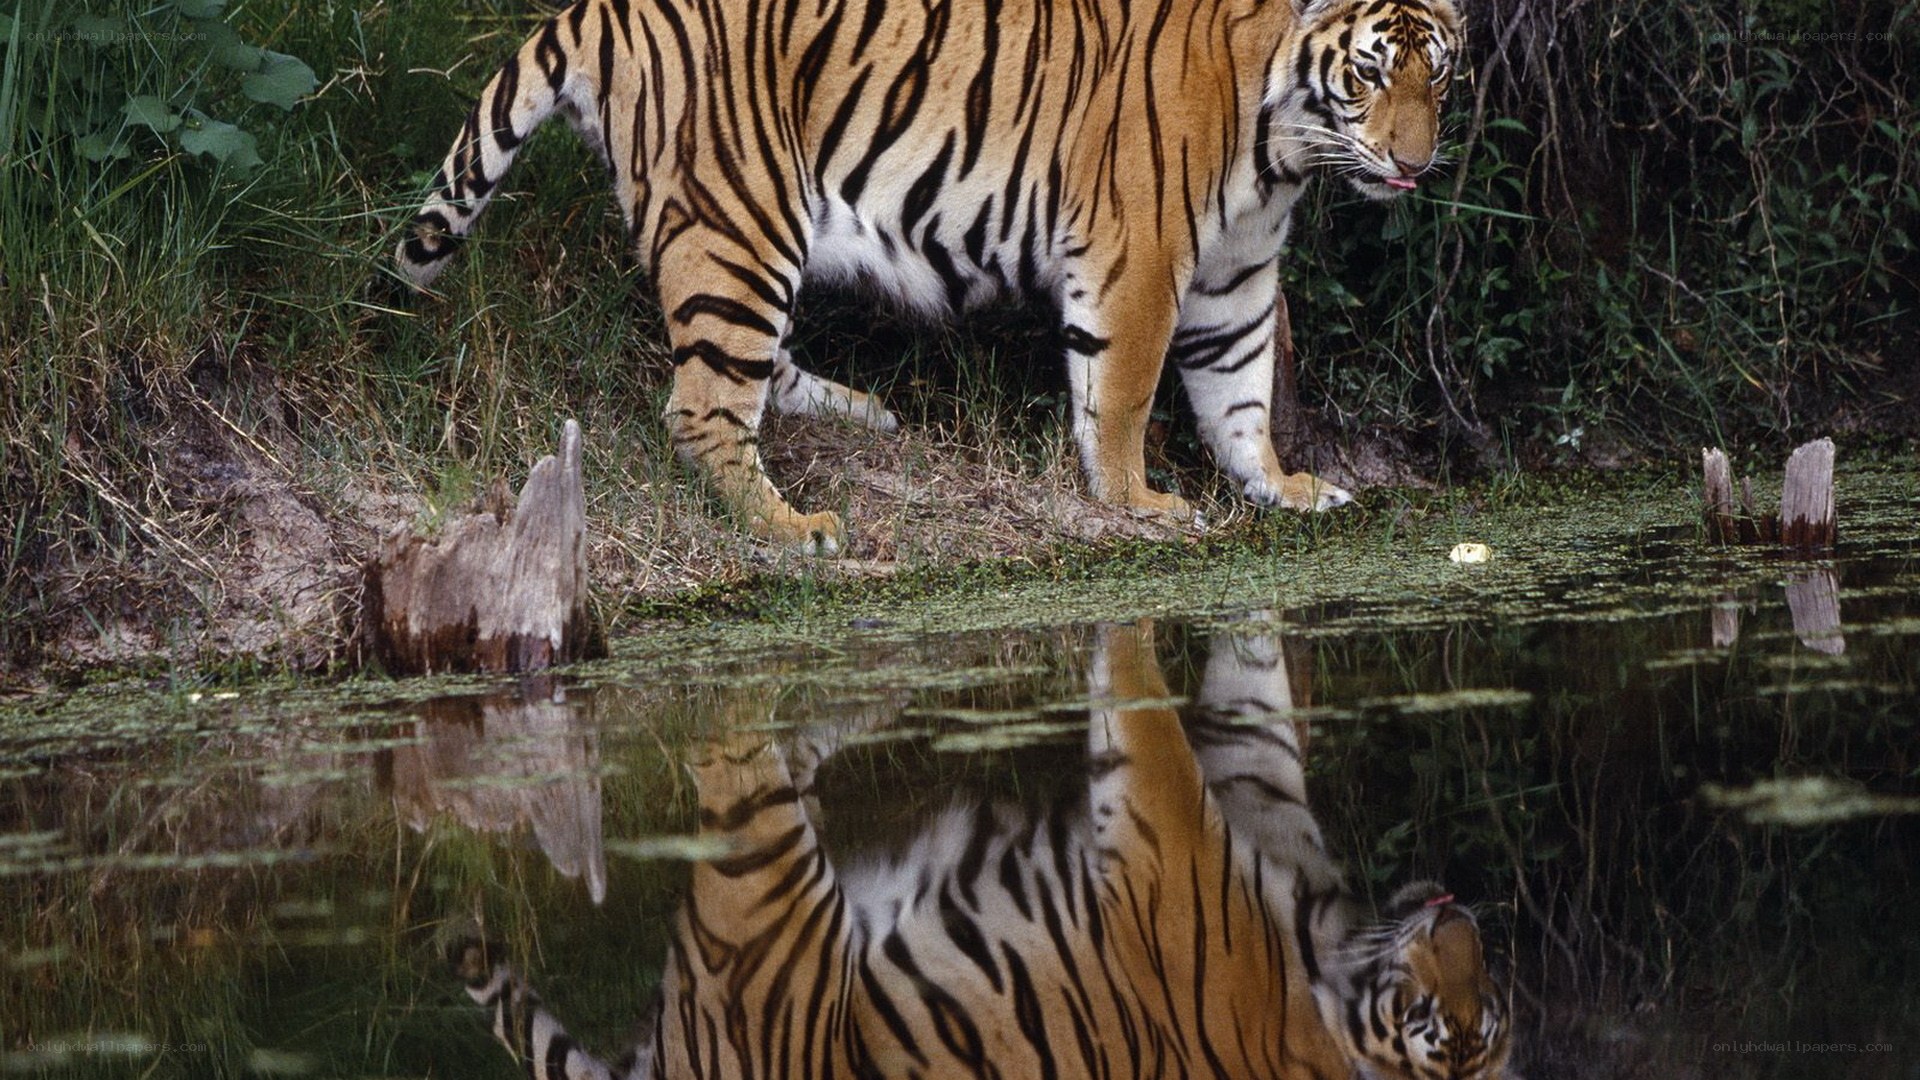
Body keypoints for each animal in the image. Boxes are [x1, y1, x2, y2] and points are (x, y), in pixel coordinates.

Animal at [396, 0, 1464, 553]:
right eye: (1369, 74)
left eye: (1439, 74)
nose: (1414, 165)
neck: (1285, 151)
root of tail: (601, 8)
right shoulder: (1141, 257)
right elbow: (1122, 392)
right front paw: (1141, 504)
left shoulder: (1235, 274)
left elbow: (1240, 389)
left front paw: (1280, 486)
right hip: (740, 221)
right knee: (702, 406)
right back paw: (795, 527)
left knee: (754, 368)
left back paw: (862, 412)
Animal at [454, 619, 1515, 1078]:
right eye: (1423, 1015)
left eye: (1487, 1012)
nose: (1456, 914)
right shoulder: (1174, 835)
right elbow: (1152, 714)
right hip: (770, 904)